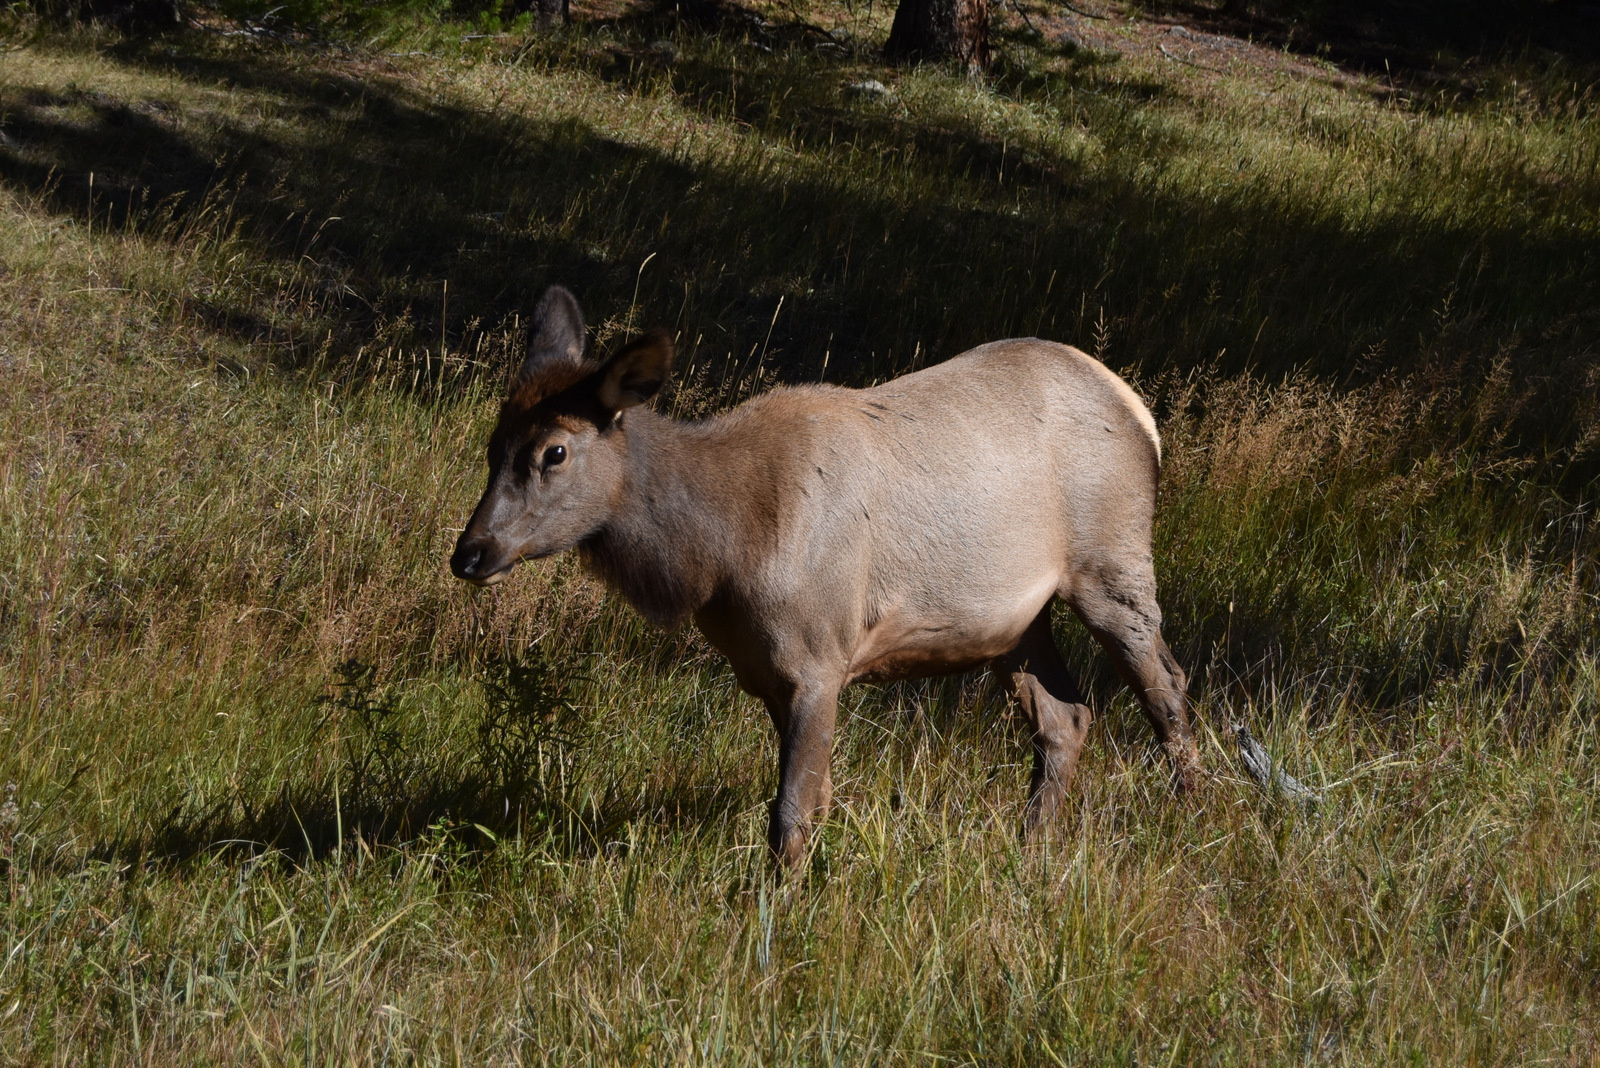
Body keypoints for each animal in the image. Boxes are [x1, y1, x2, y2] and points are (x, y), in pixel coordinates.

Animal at [451, 286, 1203, 869]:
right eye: (492, 446)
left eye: (554, 452)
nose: (471, 553)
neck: (721, 555)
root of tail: (1142, 415)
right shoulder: (768, 673)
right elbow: (815, 800)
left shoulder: (819, 656)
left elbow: (790, 814)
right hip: (1015, 620)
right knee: (1066, 717)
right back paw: (1031, 844)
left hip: (1112, 561)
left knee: (1167, 691)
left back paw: (1196, 819)